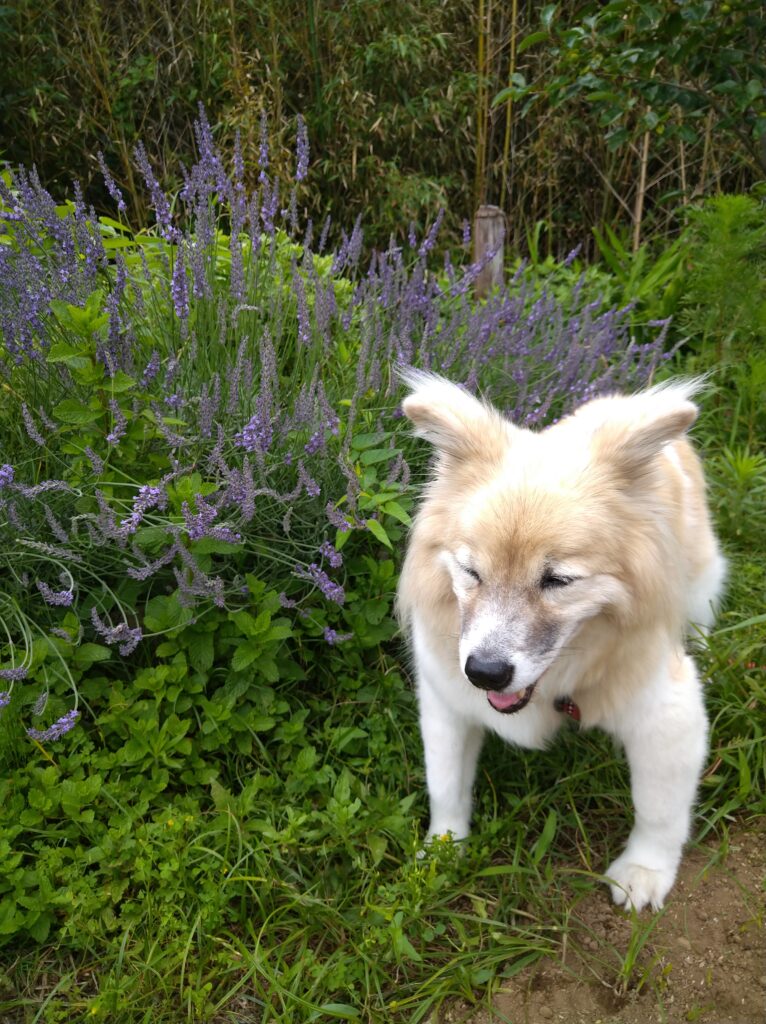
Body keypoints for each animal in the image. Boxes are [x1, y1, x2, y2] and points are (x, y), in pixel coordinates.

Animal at [397, 370, 729, 913]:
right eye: (471, 572)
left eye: (558, 580)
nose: (484, 673)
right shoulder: (446, 704)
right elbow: (445, 786)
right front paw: (442, 854)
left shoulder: (668, 716)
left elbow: (658, 809)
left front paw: (642, 873)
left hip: (702, 579)